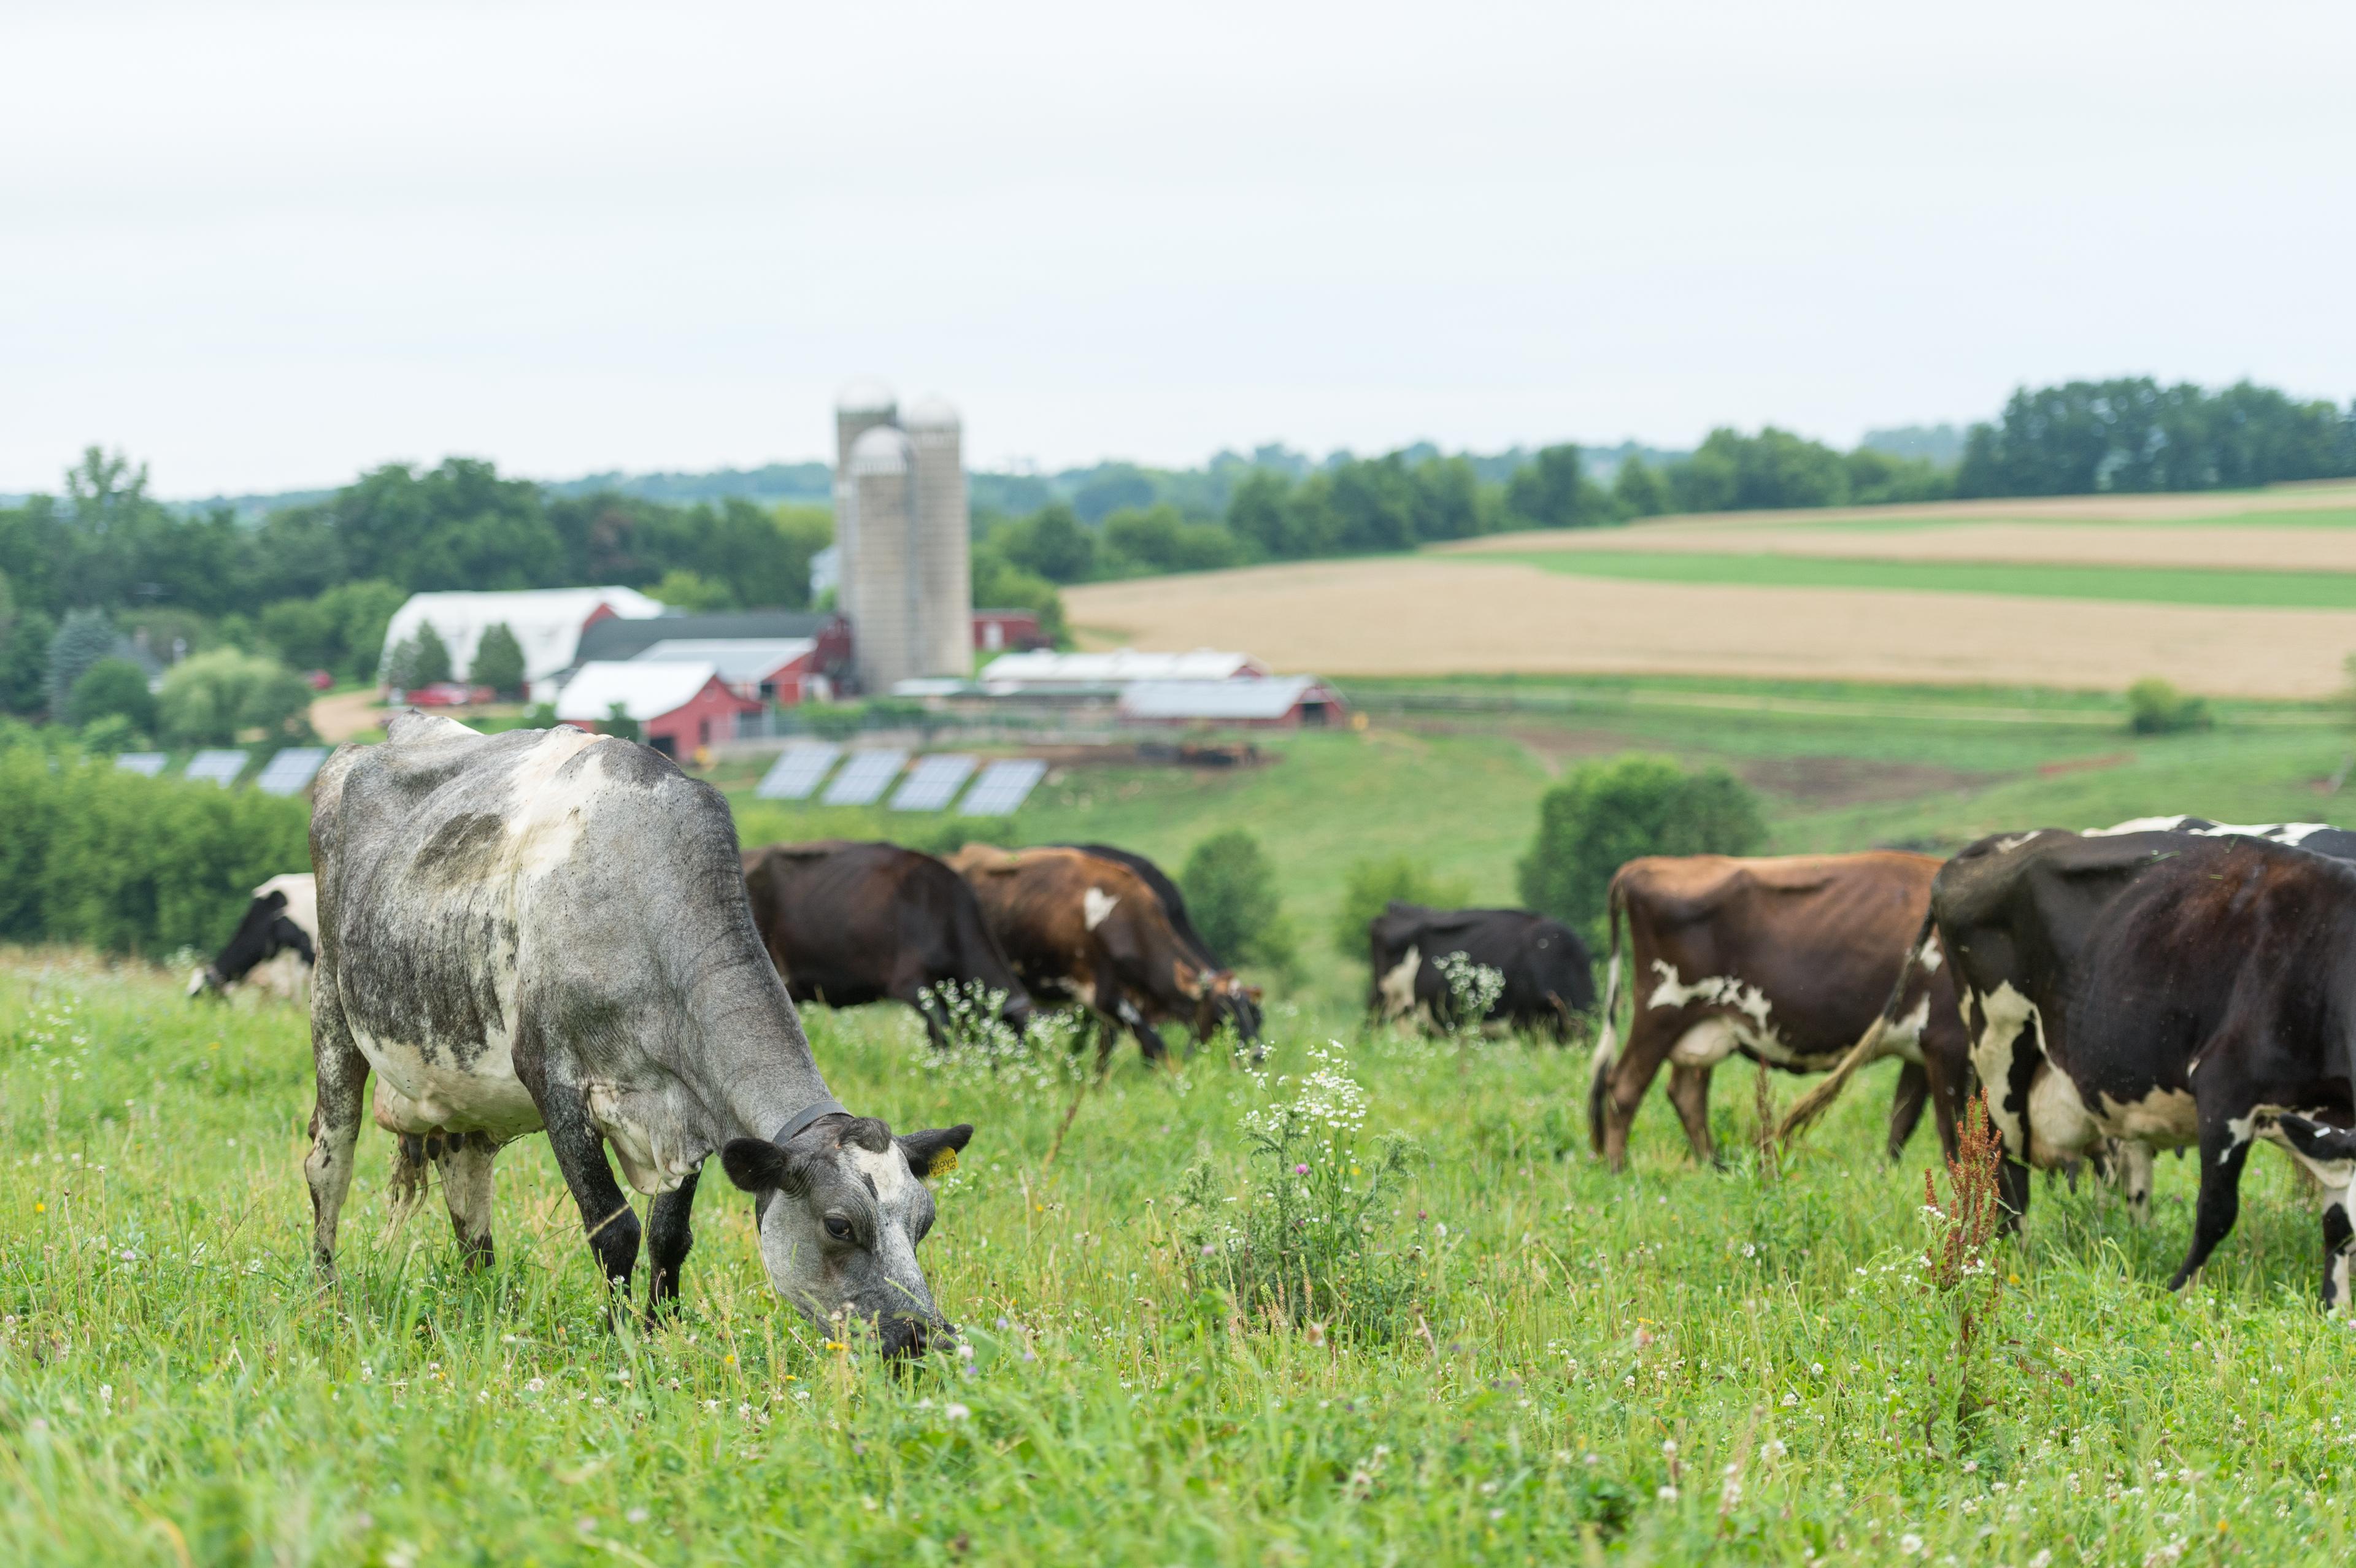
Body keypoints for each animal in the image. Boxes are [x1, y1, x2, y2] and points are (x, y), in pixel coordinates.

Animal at [303, 714, 974, 1353]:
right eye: (840, 1225)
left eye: (925, 1222)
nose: (926, 1338)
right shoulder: (556, 1085)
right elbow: (615, 1229)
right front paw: (619, 1340)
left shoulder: (690, 1110)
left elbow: (669, 1235)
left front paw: (661, 1333)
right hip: (331, 1015)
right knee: (327, 1167)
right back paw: (327, 1297)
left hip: (463, 1086)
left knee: (466, 1184)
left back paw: (482, 1300)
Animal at [1587, 852, 1971, 1173]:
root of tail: (1642, 866)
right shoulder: (1948, 1042)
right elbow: (1952, 1125)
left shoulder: (1920, 1050)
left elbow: (1902, 1121)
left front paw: (1888, 1176)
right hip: (1661, 1010)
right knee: (1624, 1086)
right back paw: (1620, 1171)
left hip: (1701, 1025)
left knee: (1685, 1093)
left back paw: (1714, 1168)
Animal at [1819, 829, 2356, 1301]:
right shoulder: (2225, 1091)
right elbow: (2217, 1210)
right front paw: (2178, 1291)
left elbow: (2338, 1224)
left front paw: (2333, 1306)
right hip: (1998, 1042)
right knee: (2007, 1170)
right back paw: (2013, 1260)